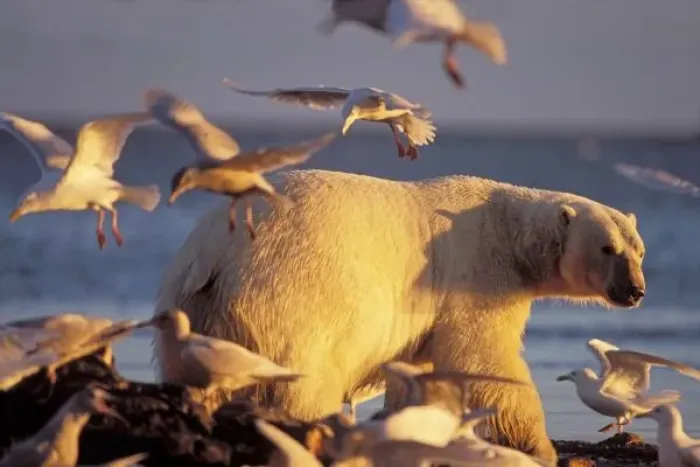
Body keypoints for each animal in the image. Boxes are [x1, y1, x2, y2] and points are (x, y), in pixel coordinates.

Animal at [153, 169, 646, 461]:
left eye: (638, 249)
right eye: (608, 248)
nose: (636, 290)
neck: (509, 232)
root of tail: (212, 254)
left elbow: (422, 367)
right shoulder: (475, 275)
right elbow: (485, 359)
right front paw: (539, 446)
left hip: (197, 303)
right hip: (292, 292)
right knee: (306, 376)